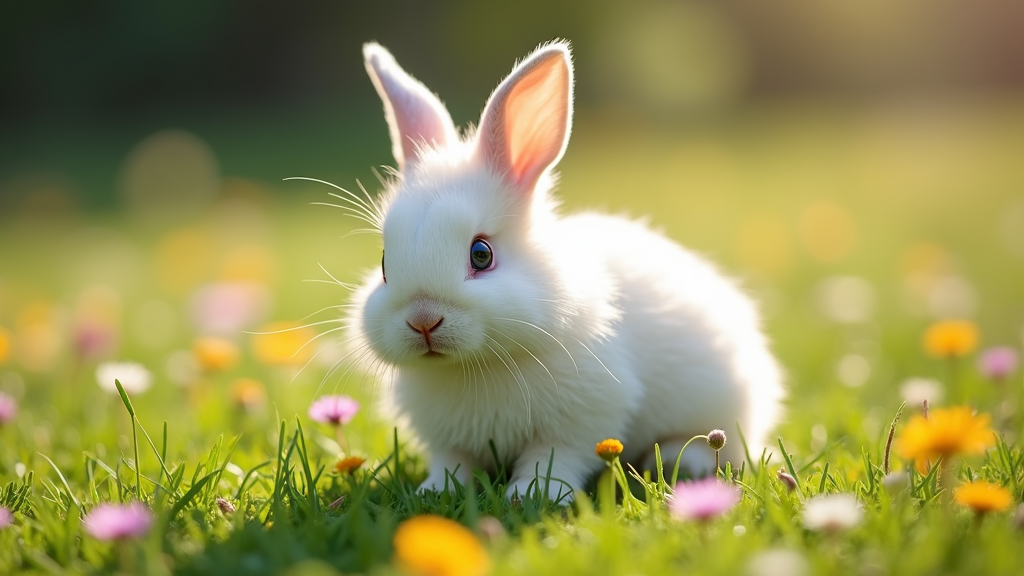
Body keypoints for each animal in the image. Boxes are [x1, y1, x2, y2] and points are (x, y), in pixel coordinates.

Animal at [344, 39, 782, 498]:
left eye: (481, 254)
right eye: (384, 264)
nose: (423, 320)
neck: (475, 366)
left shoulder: (581, 421)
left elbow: (553, 457)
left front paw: (533, 494)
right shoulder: (448, 441)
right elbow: (453, 463)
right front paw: (435, 492)